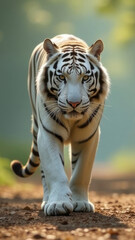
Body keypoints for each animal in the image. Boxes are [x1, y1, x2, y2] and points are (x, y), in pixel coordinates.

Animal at [10, 33, 109, 216]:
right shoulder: (48, 134)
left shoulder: (88, 136)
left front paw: (80, 202)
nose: (74, 103)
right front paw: (58, 204)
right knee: (44, 173)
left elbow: (81, 172)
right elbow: (55, 171)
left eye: (85, 78)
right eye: (62, 77)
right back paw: (46, 200)